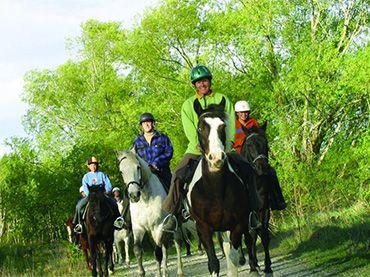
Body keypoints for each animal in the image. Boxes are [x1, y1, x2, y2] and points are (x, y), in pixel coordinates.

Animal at [186, 98, 256, 274]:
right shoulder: (203, 228)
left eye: (223, 126)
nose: (216, 158)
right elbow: (213, 263)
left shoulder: (238, 225)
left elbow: (233, 258)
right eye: (200, 127)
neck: (215, 190)